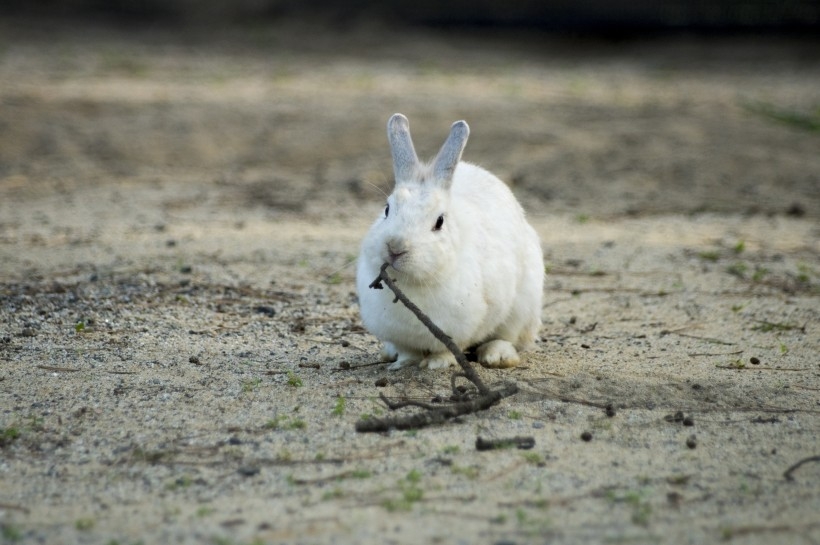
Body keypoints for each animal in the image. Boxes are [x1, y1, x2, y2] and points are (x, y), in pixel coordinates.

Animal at [354, 114, 540, 370]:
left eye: (439, 222)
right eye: (387, 209)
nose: (395, 248)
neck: (412, 283)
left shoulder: (460, 328)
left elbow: (449, 348)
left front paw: (437, 364)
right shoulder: (399, 334)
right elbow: (407, 351)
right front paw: (404, 363)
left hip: (523, 305)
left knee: (508, 336)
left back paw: (497, 356)